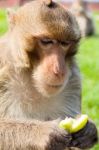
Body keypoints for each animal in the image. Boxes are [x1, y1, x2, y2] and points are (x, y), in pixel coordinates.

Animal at [0, 0, 97, 149]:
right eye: (46, 41)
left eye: (64, 43)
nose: (59, 70)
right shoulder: (3, 70)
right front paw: (43, 133)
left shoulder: (73, 80)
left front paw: (89, 130)